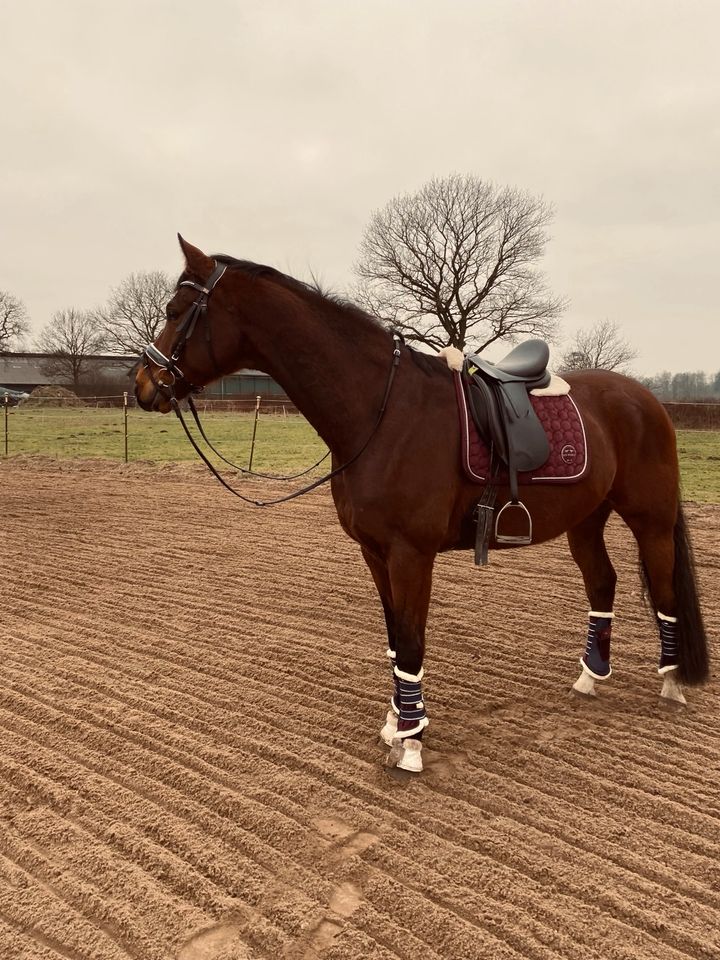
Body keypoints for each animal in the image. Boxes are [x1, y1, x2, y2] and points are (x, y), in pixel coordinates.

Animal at [135, 236, 708, 776]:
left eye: (176, 311)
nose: (142, 384)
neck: (381, 411)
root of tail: (645, 399)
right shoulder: (375, 553)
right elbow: (394, 639)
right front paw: (396, 723)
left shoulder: (411, 554)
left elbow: (411, 642)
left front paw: (410, 745)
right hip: (585, 520)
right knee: (603, 582)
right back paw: (590, 677)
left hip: (651, 521)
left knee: (664, 588)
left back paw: (671, 684)